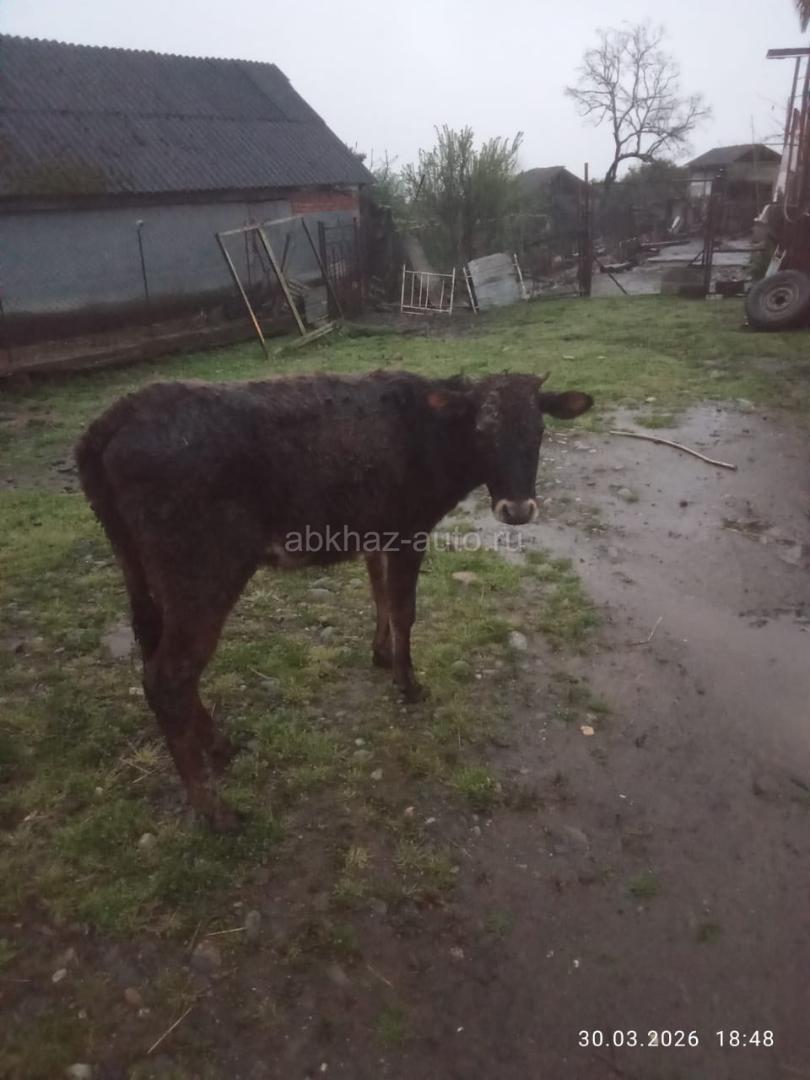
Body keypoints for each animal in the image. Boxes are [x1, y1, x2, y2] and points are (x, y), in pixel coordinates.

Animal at [75, 370, 593, 829]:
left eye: (540, 430)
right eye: (482, 431)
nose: (518, 509)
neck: (432, 435)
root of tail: (112, 419)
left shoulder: (375, 531)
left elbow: (379, 594)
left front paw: (381, 655)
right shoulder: (408, 530)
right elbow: (404, 609)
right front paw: (408, 683)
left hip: (143, 574)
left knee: (157, 660)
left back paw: (219, 745)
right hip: (202, 575)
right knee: (168, 679)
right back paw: (214, 811)